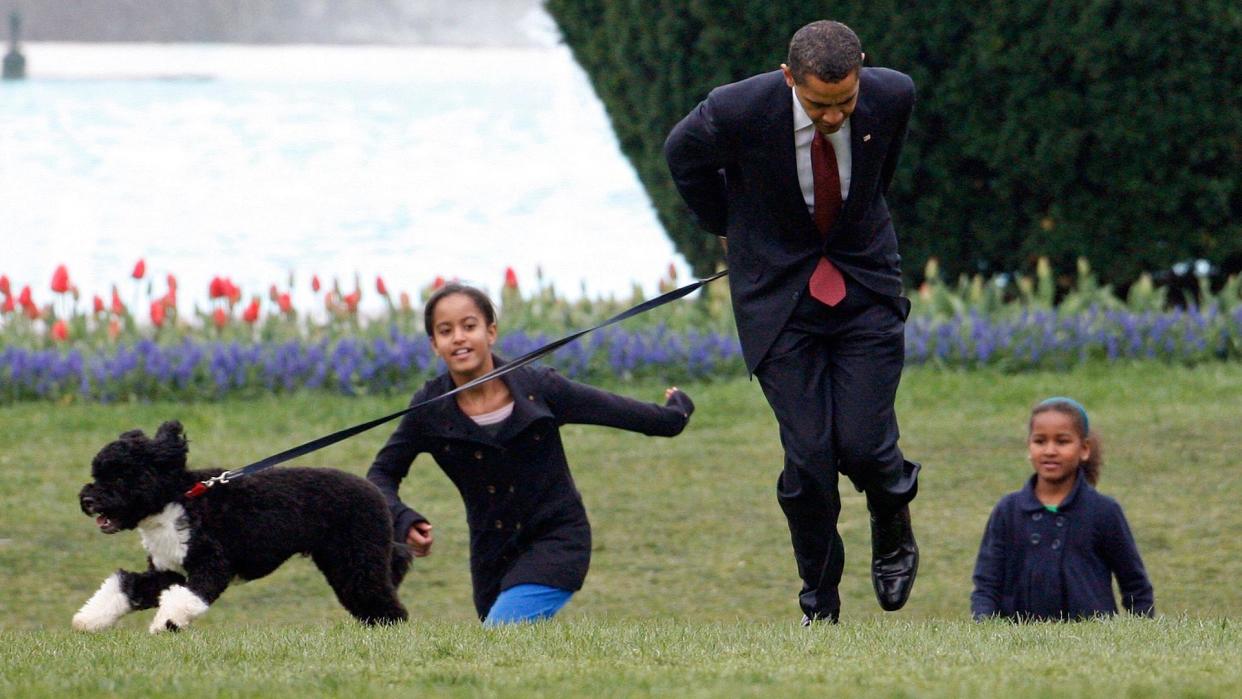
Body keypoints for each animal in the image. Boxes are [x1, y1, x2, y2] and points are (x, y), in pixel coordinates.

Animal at [75, 422, 409, 635]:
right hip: (342, 562)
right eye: (96, 474)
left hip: (358, 557)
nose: (88, 500)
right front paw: (88, 619)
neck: (177, 500)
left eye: (121, 477)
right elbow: (127, 586)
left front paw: (165, 624)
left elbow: (186, 597)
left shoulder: (212, 565)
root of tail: (376, 494)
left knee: (382, 601)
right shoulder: (167, 570)